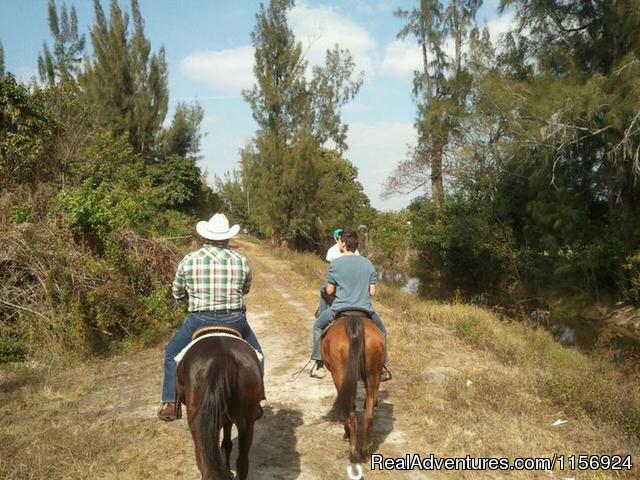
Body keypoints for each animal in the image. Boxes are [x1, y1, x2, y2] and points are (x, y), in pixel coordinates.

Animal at [176, 334, 264, 480]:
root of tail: (221, 358)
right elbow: (226, 444)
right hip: (245, 422)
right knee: (242, 463)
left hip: (198, 426)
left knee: (203, 462)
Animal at [322, 310, 382, 464]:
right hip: (372, 376)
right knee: (368, 415)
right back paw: (365, 450)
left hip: (340, 375)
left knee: (351, 413)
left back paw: (353, 451)